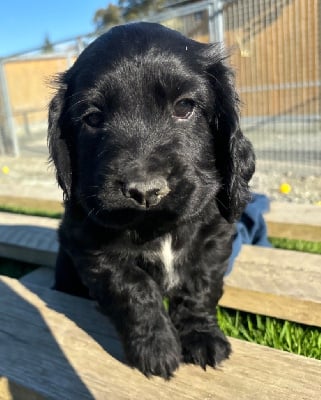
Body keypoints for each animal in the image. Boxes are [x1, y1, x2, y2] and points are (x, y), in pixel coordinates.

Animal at [47, 21, 254, 378]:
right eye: (92, 118)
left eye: (185, 106)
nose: (144, 190)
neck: (157, 227)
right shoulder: (89, 242)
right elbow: (132, 286)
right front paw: (156, 348)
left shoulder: (213, 237)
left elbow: (199, 287)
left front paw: (202, 336)